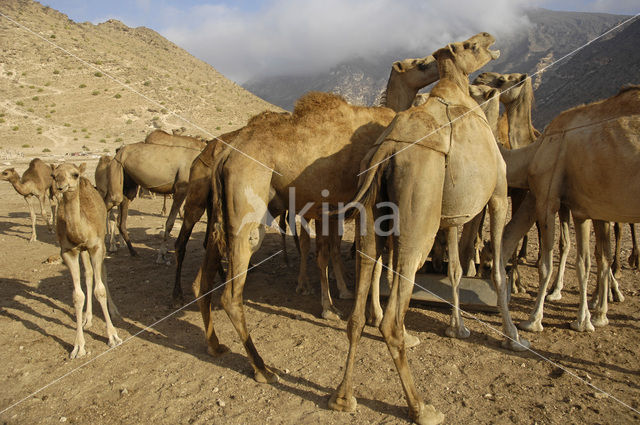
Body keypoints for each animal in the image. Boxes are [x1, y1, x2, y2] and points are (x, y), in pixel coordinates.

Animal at [52, 162, 121, 358]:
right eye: (54, 175)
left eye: (74, 174)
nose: (60, 186)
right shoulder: (68, 252)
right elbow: (77, 296)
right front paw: (78, 346)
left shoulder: (96, 246)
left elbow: (100, 289)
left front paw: (113, 336)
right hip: (83, 251)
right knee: (89, 274)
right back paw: (87, 317)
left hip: (100, 242)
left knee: (102, 273)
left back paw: (113, 310)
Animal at [105, 132, 204, 264]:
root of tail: (118, 152)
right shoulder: (181, 189)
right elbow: (170, 223)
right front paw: (161, 255)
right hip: (116, 171)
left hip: (128, 183)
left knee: (121, 217)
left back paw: (132, 251)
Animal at [328, 34, 528, 424]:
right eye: (470, 46)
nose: (489, 37)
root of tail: (384, 154)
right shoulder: (497, 195)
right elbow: (497, 271)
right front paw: (513, 336)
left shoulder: (451, 216)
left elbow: (455, 268)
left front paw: (458, 326)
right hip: (418, 216)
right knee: (392, 316)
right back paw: (422, 407)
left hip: (372, 218)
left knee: (358, 305)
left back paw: (344, 398)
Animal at [500, 85, 640, 332]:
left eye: (505, 80)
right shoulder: (580, 208)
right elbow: (586, 259)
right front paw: (590, 317)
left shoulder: (549, 198)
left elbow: (551, 260)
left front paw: (534, 319)